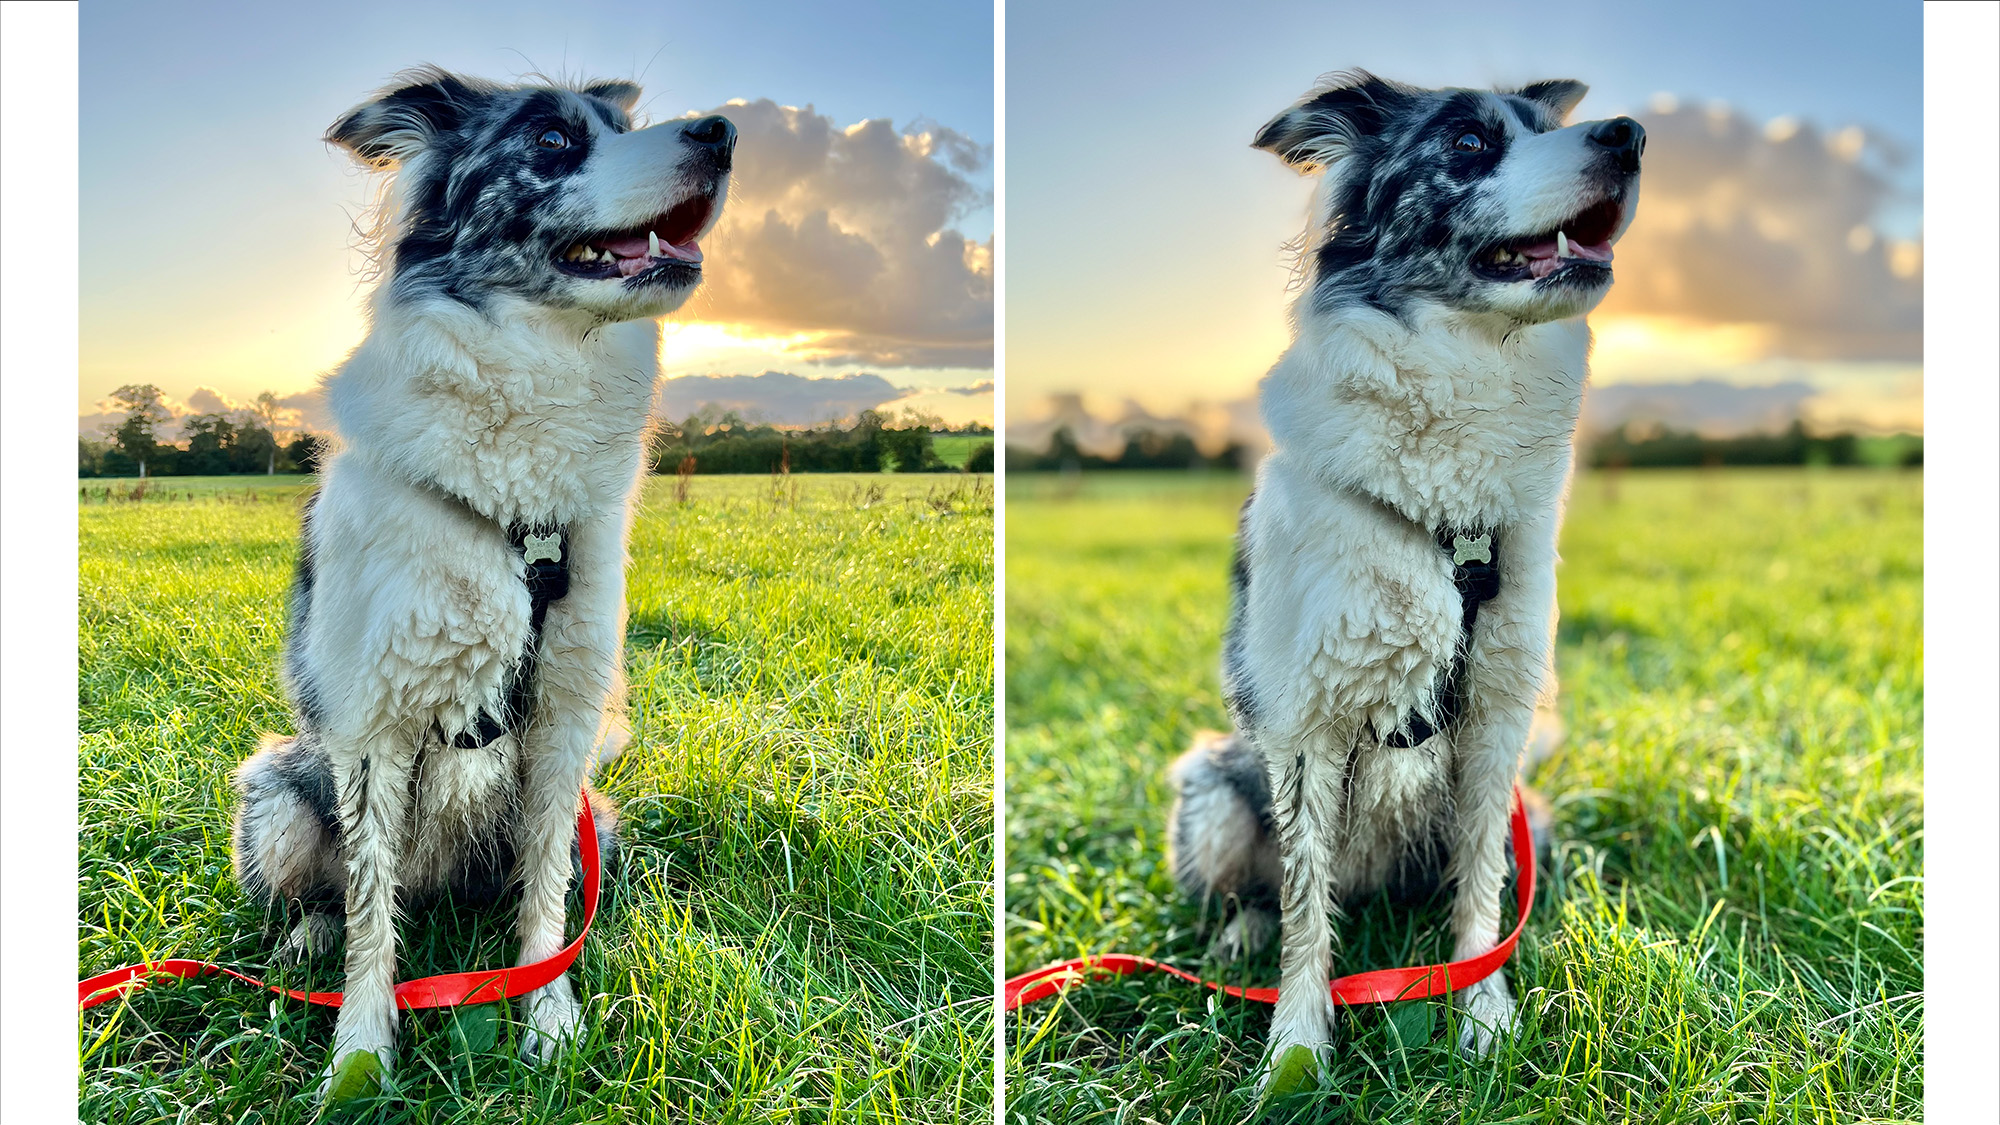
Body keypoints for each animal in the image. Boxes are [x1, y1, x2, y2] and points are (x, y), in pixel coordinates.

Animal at [229, 65, 736, 1088]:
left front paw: (545, 1013)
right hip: (280, 791)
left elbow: (544, 897)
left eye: (619, 124)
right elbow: (370, 917)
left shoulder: (564, 720)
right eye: (550, 140)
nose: (722, 133)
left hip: (595, 815)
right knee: (328, 894)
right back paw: (306, 941)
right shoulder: (373, 725)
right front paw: (361, 1051)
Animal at [1168, 72, 1648, 1080]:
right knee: (1254, 892)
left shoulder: (1499, 715)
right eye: (1468, 142)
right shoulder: (1304, 720)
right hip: (1217, 787)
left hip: (1531, 812)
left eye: (1545, 126)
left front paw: (1482, 1014)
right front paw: (1296, 1049)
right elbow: (1305, 909)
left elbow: (1480, 896)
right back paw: (1238, 941)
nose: (1628, 135)